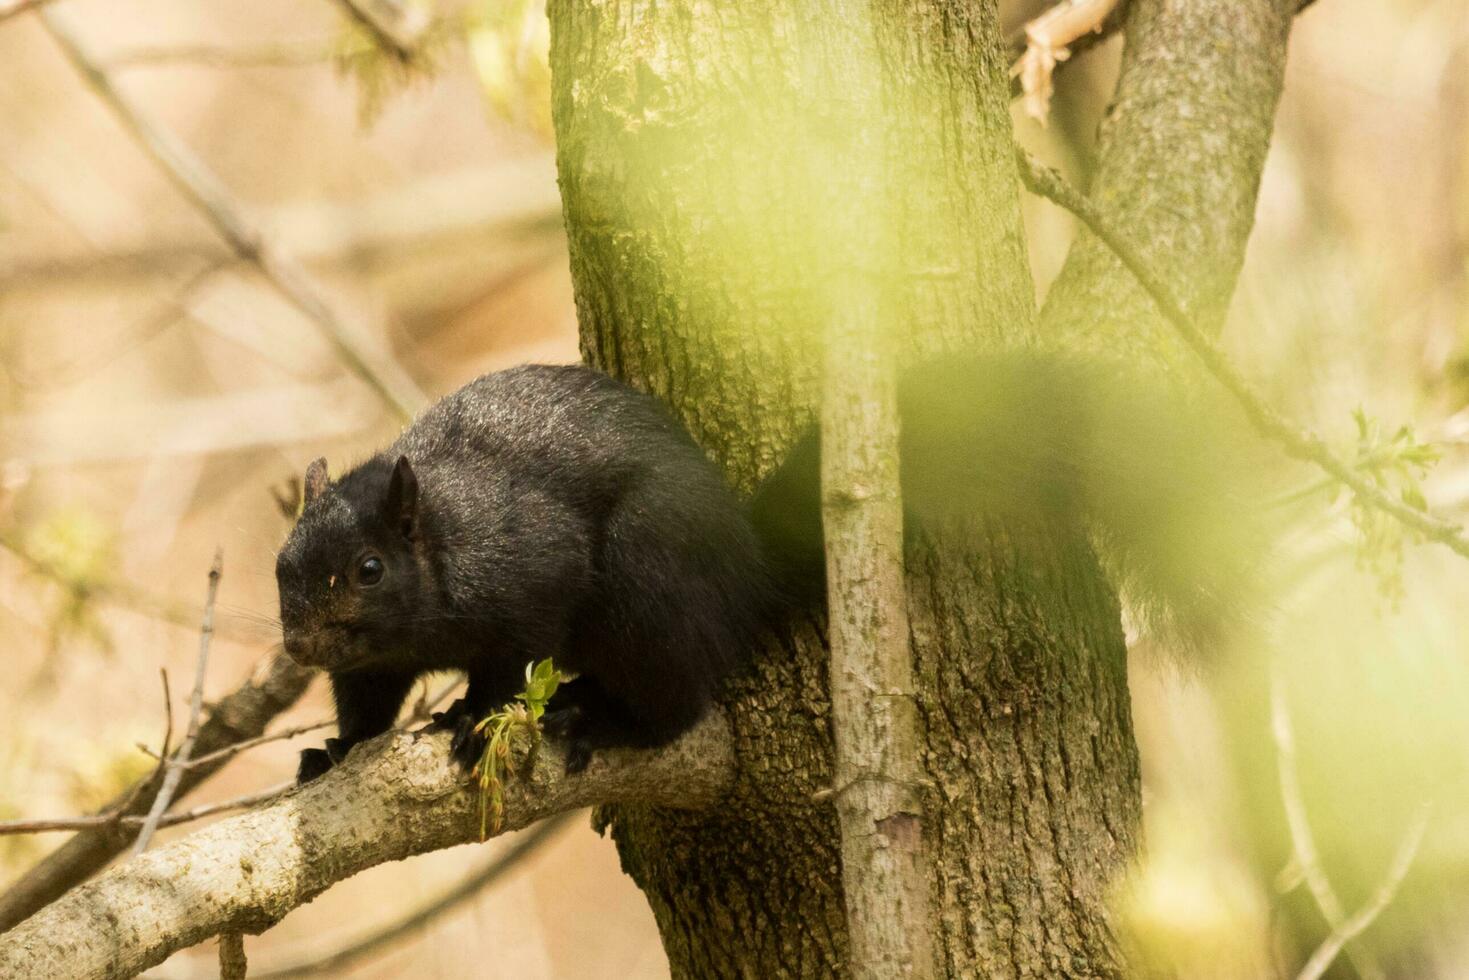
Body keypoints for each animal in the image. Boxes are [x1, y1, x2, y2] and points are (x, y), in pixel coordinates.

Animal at [280, 354, 1269, 781]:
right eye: (280, 566)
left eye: (369, 568)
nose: (297, 648)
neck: (441, 539)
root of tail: (744, 575)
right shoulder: (370, 664)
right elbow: (364, 702)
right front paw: (338, 749)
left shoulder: (526, 568)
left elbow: (505, 659)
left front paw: (474, 719)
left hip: (646, 580)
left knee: (677, 700)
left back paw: (599, 716)